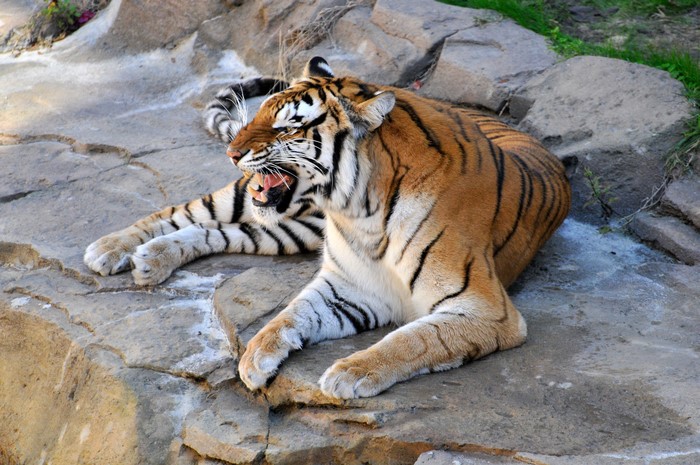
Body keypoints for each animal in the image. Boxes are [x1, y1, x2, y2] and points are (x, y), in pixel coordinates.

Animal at [84, 56, 571, 399]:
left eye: (287, 128)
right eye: (260, 115)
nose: (232, 152)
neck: (361, 211)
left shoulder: (485, 309)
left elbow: (415, 339)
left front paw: (348, 373)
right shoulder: (348, 284)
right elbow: (290, 313)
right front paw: (256, 355)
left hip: (288, 231)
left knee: (220, 232)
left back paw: (151, 259)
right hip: (251, 199)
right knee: (183, 211)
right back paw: (112, 249)